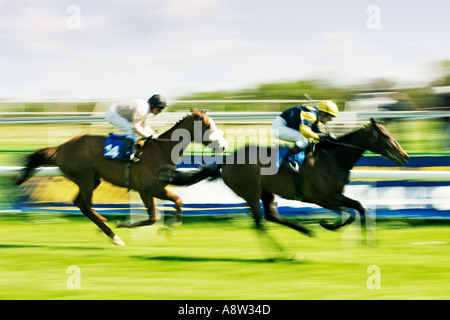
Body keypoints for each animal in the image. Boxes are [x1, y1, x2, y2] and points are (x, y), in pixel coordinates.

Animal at [13, 109, 229, 246]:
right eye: (208, 125)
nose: (224, 145)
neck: (161, 150)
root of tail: (60, 148)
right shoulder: (150, 189)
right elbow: (171, 205)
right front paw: (169, 228)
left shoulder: (149, 190)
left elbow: (160, 213)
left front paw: (160, 227)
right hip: (86, 178)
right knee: (85, 206)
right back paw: (113, 235)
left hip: (93, 180)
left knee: (78, 202)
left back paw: (104, 225)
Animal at [156, 119, 410, 239]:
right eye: (385, 136)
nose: (405, 156)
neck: (333, 158)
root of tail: (226, 161)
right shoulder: (323, 197)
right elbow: (351, 211)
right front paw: (328, 225)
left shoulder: (334, 196)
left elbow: (359, 207)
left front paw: (366, 238)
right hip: (250, 192)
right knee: (261, 222)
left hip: (266, 191)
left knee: (271, 215)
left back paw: (304, 231)